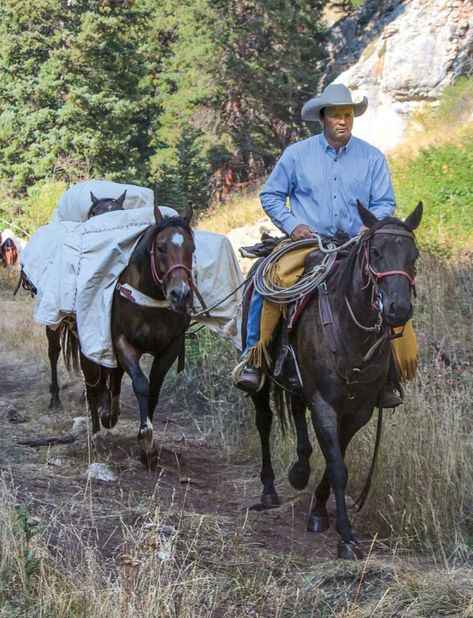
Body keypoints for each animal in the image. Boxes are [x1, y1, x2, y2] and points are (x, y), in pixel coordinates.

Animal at [80, 200, 195, 454]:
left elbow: (154, 389)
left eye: (192, 249)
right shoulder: (123, 341)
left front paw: (147, 445)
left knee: (113, 375)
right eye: (161, 247)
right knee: (92, 385)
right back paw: (97, 435)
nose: (181, 294)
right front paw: (146, 434)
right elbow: (141, 384)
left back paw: (111, 414)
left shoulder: (170, 348)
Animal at [247, 201, 420, 560]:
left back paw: (299, 471)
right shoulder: (325, 402)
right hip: (263, 375)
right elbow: (338, 466)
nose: (397, 309)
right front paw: (347, 537)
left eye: (414, 255)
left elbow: (334, 458)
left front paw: (318, 511)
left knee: (296, 409)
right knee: (264, 420)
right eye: (376, 252)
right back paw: (269, 489)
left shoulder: (359, 410)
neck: (351, 328)